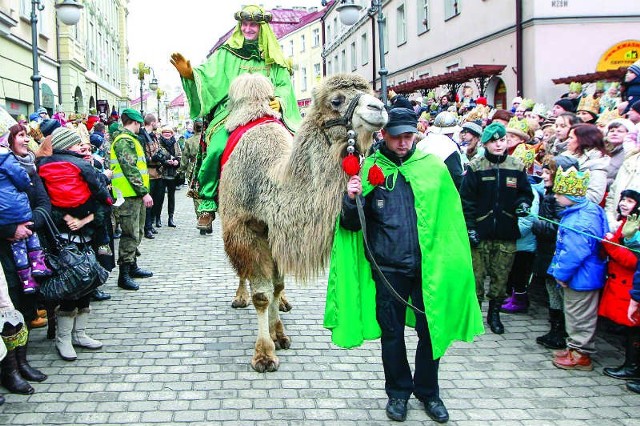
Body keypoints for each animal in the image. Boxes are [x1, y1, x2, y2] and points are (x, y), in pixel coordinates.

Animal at [218, 73, 388, 372]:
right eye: (336, 100)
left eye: (372, 92)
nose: (378, 108)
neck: (270, 179)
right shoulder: (247, 229)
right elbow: (261, 295)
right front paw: (264, 355)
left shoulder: (278, 233)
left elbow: (276, 287)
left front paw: (278, 333)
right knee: (242, 269)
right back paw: (240, 297)